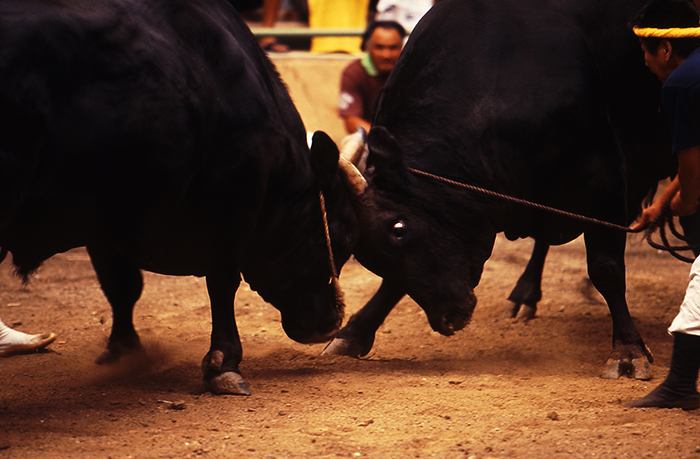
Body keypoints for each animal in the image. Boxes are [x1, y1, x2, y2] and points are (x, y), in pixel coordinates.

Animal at [0, 0, 358, 396]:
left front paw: (124, 350)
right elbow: (222, 283)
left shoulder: (107, 216)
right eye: (343, 236)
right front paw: (223, 364)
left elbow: (122, 285)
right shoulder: (232, 200)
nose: (329, 322)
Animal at [326, 0, 700, 380]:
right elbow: (394, 283)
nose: (448, 318)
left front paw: (627, 350)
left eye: (398, 228)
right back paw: (525, 294)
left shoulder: (603, 172)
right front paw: (354, 332)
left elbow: (606, 267)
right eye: (366, 254)